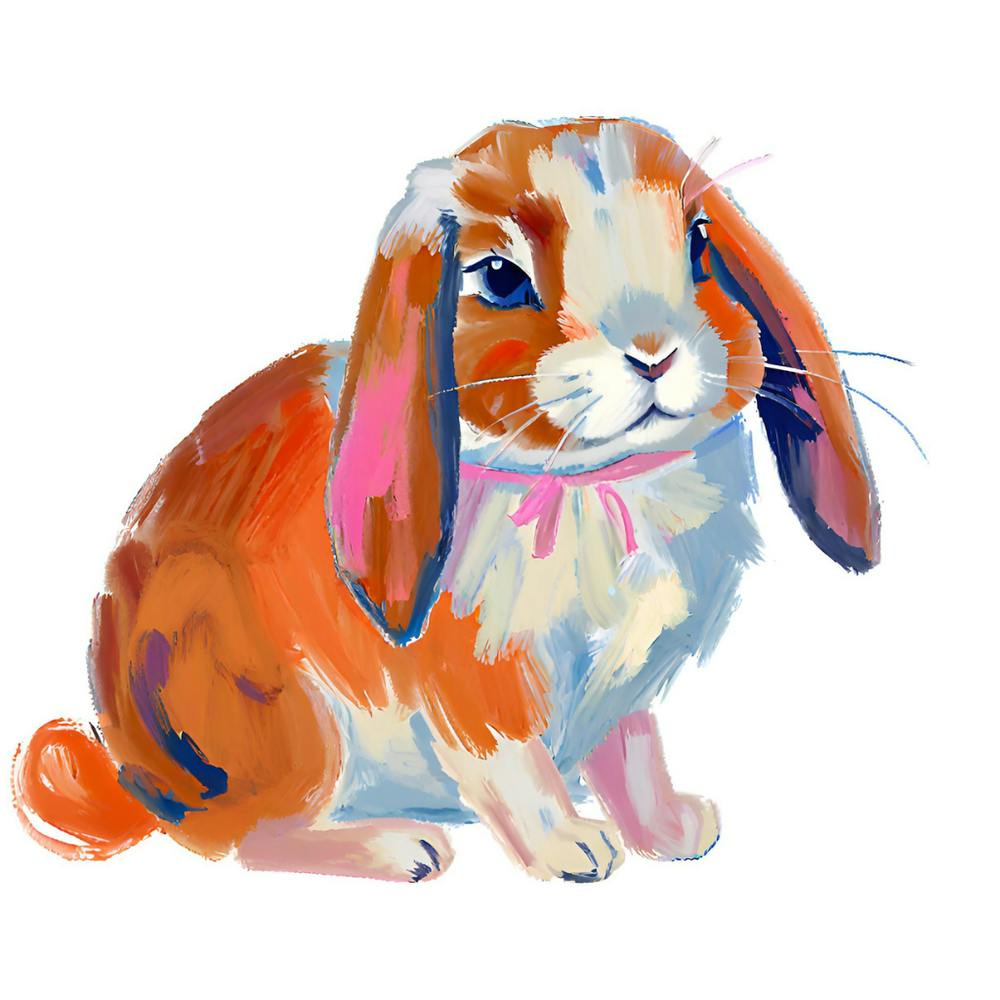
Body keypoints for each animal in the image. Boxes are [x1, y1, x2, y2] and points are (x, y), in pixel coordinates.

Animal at [12, 118, 879, 883]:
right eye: (499, 278)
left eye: (699, 241)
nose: (654, 353)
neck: (598, 482)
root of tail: (136, 770)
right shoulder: (477, 683)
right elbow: (517, 765)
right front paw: (574, 849)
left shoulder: (624, 693)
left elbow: (633, 753)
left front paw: (673, 832)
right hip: (277, 714)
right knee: (240, 836)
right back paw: (402, 849)